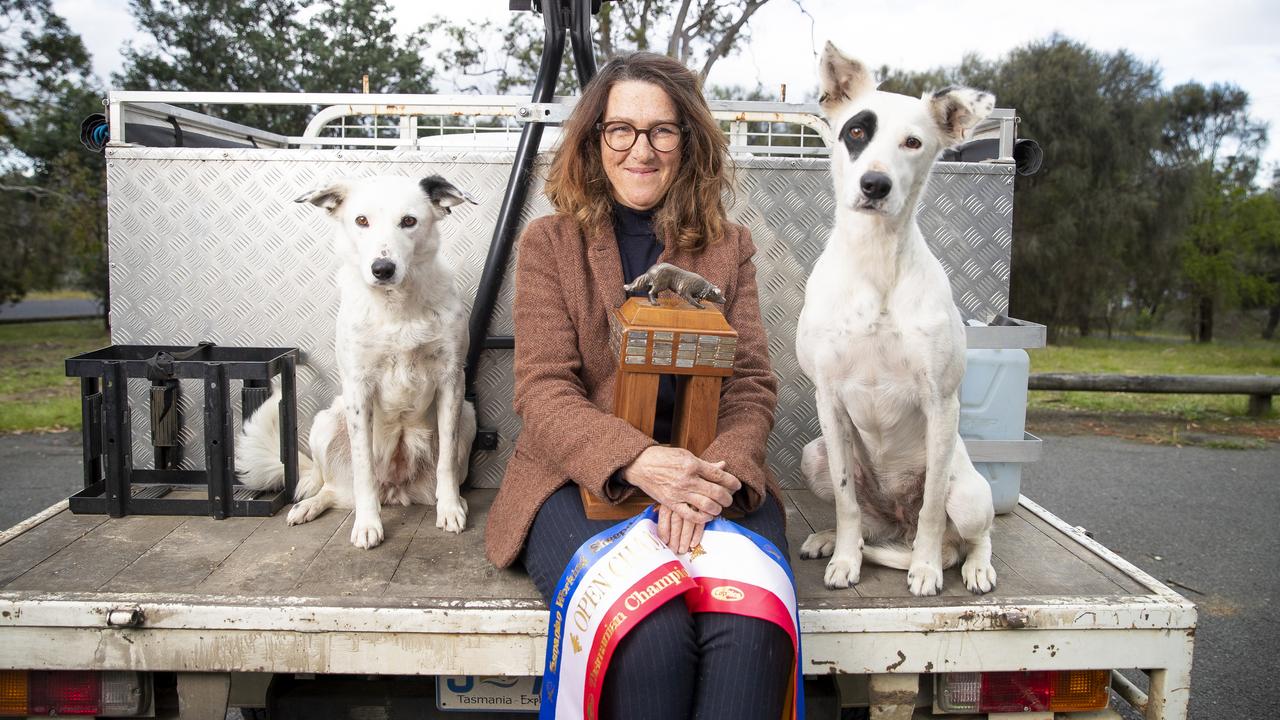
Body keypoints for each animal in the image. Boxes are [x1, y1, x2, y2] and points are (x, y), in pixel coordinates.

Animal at [238, 174, 478, 543]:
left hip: (468, 415)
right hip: (326, 422)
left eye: (409, 221)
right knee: (335, 488)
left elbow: (447, 463)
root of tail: (396, 489)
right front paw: (367, 524)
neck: (396, 306)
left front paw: (450, 509)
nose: (382, 269)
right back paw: (310, 506)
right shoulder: (359, 387)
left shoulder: (452, 380)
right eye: (361, 221)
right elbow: (363, 466)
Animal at [798, 43, 998, 594]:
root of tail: (897, 524)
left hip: (970, 496)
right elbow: (846, 500)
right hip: (814, 454)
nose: (875, 184)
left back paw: (970, 565)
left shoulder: (941, 402)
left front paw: (926, 569)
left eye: (913, 142)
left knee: (972, 533)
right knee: (866, 520)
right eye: (856, 131)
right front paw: (845, 558)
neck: (875, 262)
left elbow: (931, 507)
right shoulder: (829, 399)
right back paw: (833, 540)